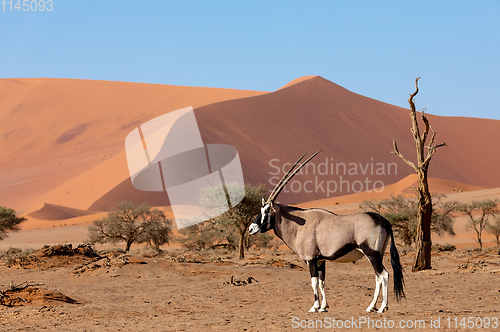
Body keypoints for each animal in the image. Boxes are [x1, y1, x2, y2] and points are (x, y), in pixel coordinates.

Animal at [248, 152, 404, 312]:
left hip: (371, 253)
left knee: (384, 275)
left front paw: (314, 307)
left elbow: (314, 282)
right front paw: (324, 307)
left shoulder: (311, 259)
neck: (299, 224)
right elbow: (322, 282)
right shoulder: (321, 260)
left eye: (267, 211)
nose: (251, 228)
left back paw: (382, 307)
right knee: (377, 277)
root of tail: (385, 222)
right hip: (376, 255)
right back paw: (371, 307)